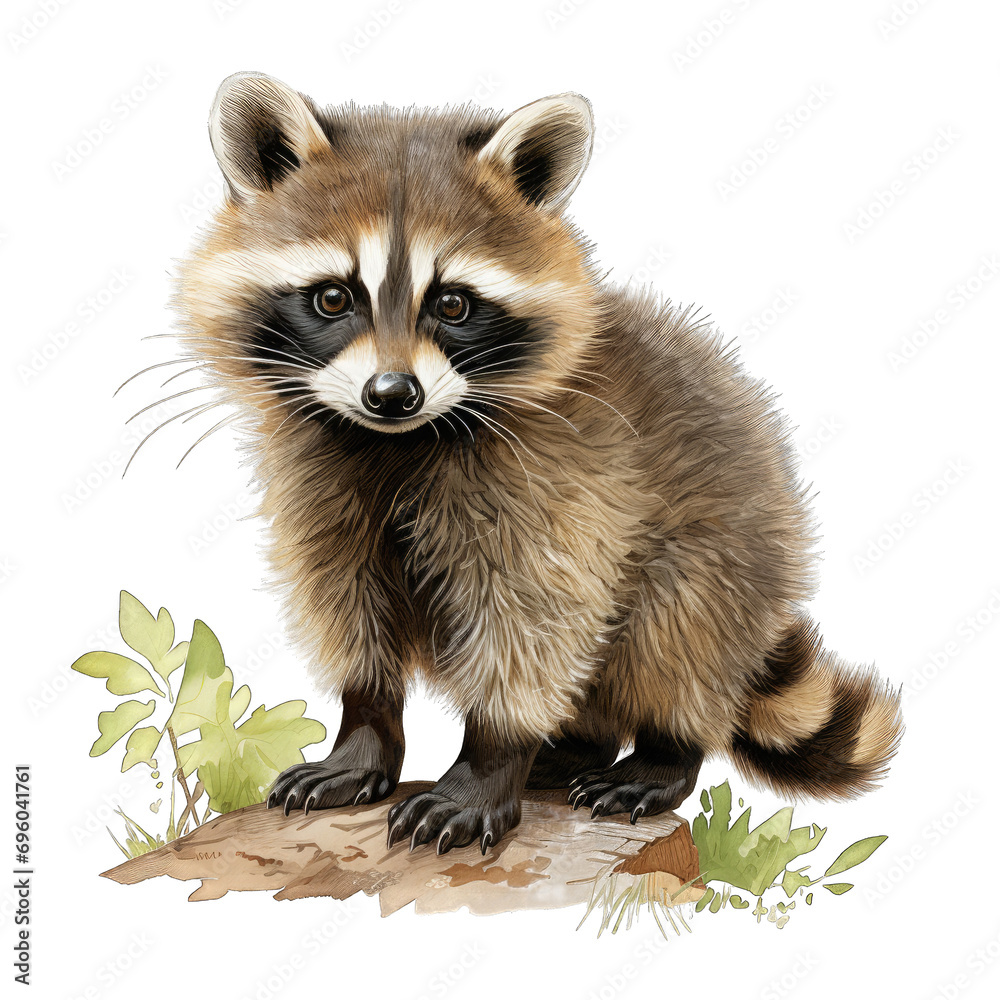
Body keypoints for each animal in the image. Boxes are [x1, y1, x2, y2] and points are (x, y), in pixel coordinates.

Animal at [174, 72, 903, 856]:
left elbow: (531, 626)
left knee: (674, 636)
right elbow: (349, 609)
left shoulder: (563, 482)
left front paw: (487, 763)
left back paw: (661, 753)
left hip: (728, 550)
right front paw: (364, 732)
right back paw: (577, 746)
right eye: (334, 297)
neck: (397, 442)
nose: (392, 394)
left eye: (454, 305)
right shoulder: (322, 486)